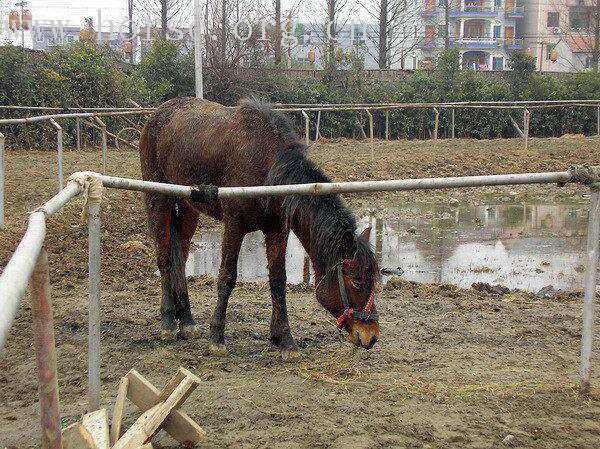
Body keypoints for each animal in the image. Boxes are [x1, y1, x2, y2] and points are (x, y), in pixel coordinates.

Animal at [139, 98, 380, 354]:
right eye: (356, 282)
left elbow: (278, 280)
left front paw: (284, 338)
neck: (268, 170)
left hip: (188, 208)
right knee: (164, 259)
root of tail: (157, 115)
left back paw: (186, 321)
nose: (371, 336)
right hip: (159, 200)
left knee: (179, 259)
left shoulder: (277, 229)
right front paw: (217, 337)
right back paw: (167, 322)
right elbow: (227, 277)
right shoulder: (234, 225)